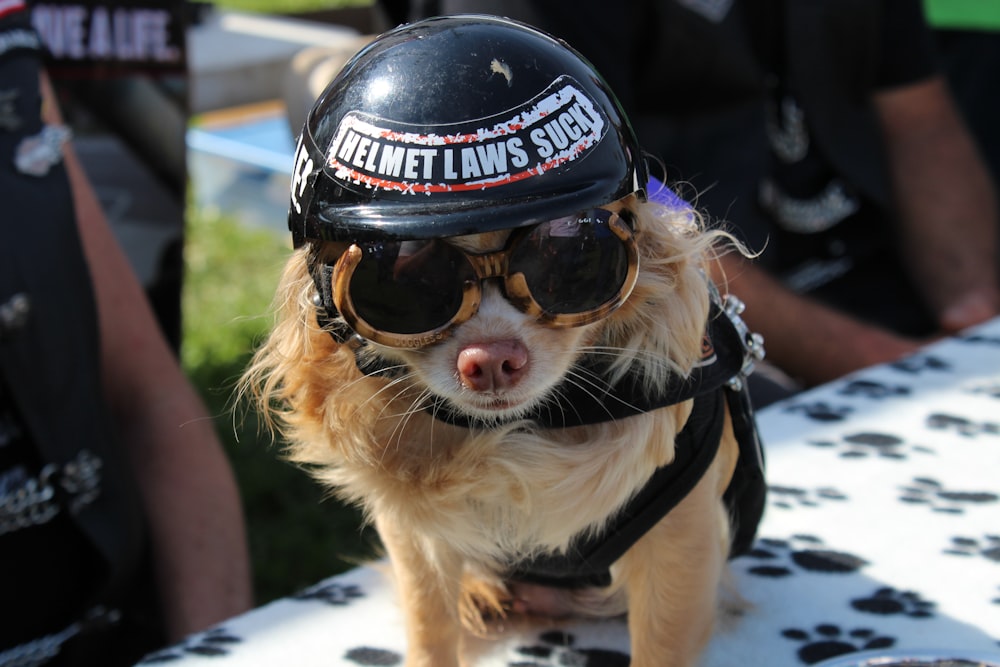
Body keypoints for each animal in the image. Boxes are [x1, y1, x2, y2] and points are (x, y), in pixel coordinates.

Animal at [242, 190, 764, 664]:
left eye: (570, 253)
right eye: (404, 275)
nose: (490, 359)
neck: (523, 429)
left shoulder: (681, 543)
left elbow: (661, 646)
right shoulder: (416, 539)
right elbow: (430, 626)